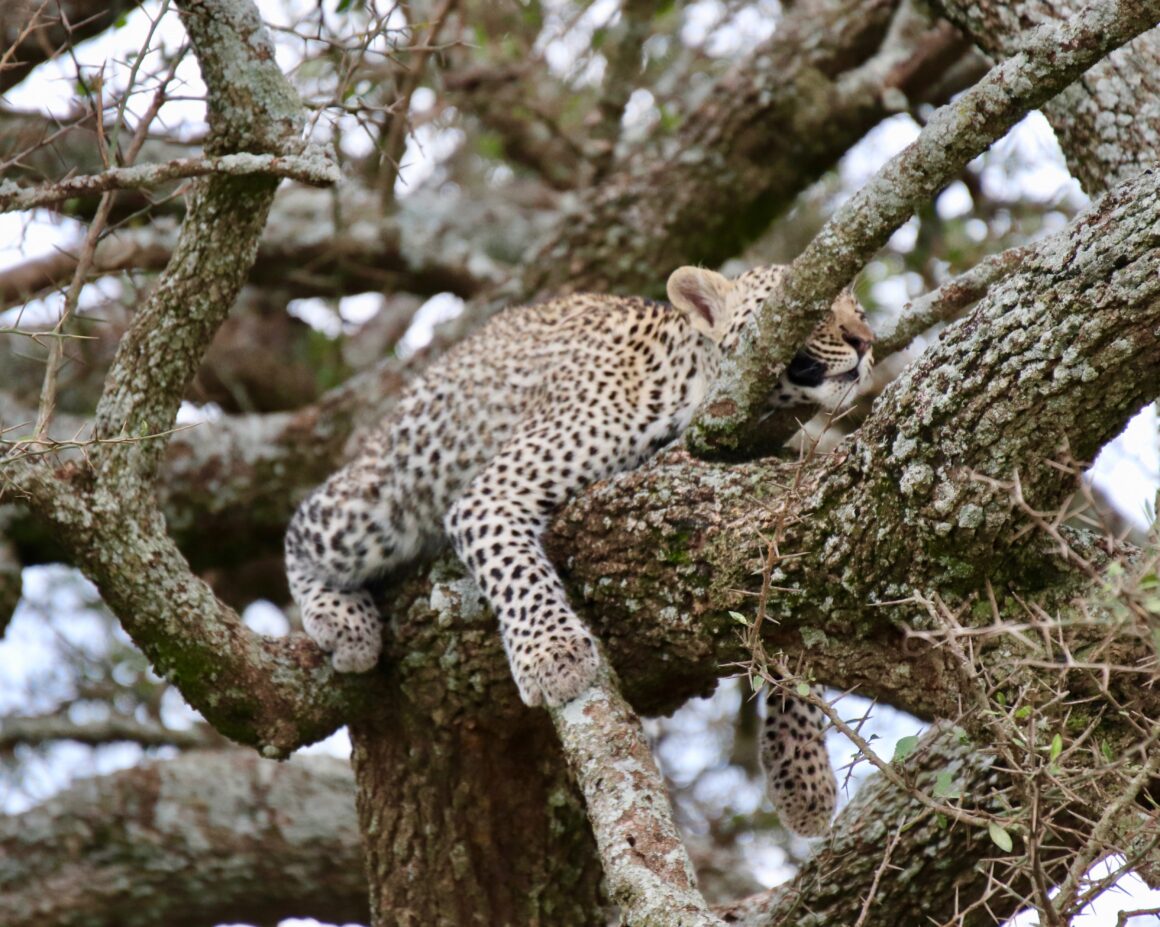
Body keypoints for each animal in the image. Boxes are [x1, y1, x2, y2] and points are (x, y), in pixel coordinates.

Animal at [284, 263, 873, 835]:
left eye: (860, 310)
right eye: (814, 306)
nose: (865, 341)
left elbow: (787, 627)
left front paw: (803, 770)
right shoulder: (491, 493)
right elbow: (521, 575)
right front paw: (554, 656)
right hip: (390, 497)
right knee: (304, 524)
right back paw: (343, 620)